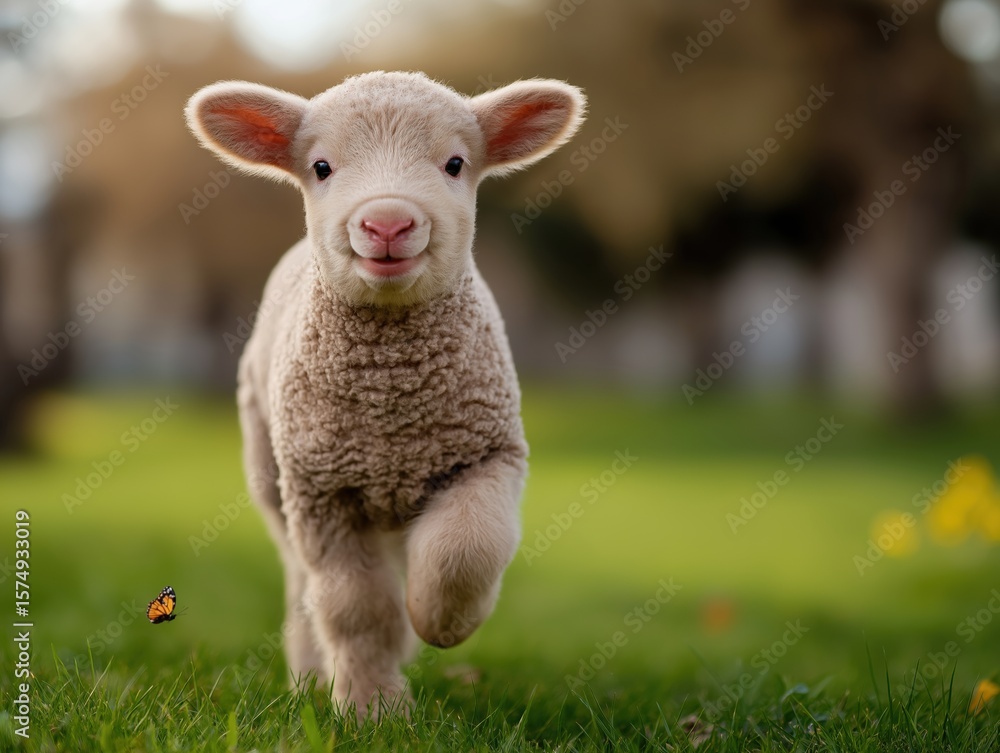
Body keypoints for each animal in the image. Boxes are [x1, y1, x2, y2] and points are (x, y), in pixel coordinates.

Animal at [185, 71, 586, 717]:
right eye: (322, 167)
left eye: (455, 163)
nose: (388, 224)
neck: (391, 411)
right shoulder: (322, 492)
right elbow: (355, 607)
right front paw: (371, 710)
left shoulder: (487, 455)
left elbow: (466, 548)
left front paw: (443, 621)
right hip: (273, 475)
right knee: (302, 585)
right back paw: (308, 674)